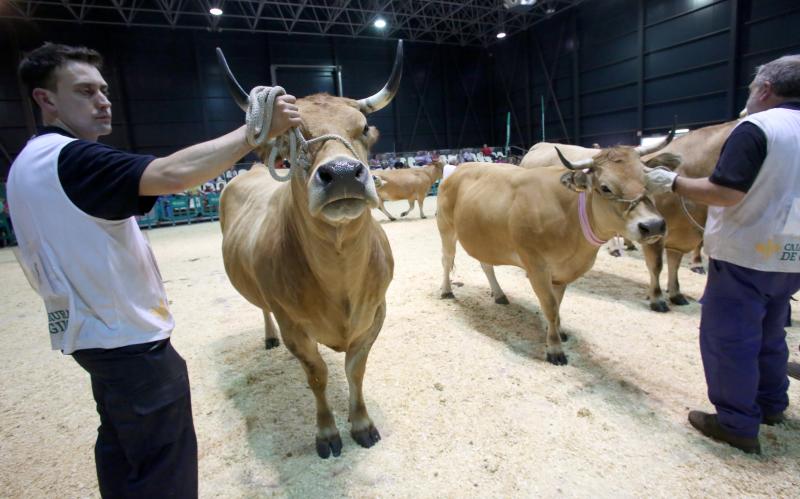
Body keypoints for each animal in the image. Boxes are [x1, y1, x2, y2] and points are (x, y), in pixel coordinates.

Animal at [217, 43, 400, 460]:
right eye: (292, 137)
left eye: (363, 130)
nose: (344, 172)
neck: (341, 276)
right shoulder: (294, 326)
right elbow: (317, 374)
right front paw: (327, 432)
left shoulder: (376, 313)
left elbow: (355, 369)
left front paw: (361, 423)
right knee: (264, 310)